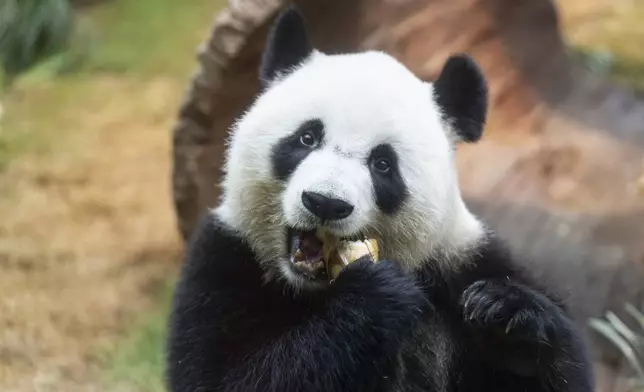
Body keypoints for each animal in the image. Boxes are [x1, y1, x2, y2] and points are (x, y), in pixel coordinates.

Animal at [166, 5, 592, 392]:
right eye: (307, 137)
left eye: (383, 164)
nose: (325, 203)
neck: (312, 290)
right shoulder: (223, 262)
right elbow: (224, 377)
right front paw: (376, 295)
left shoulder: (462, 262)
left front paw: (508, 312)